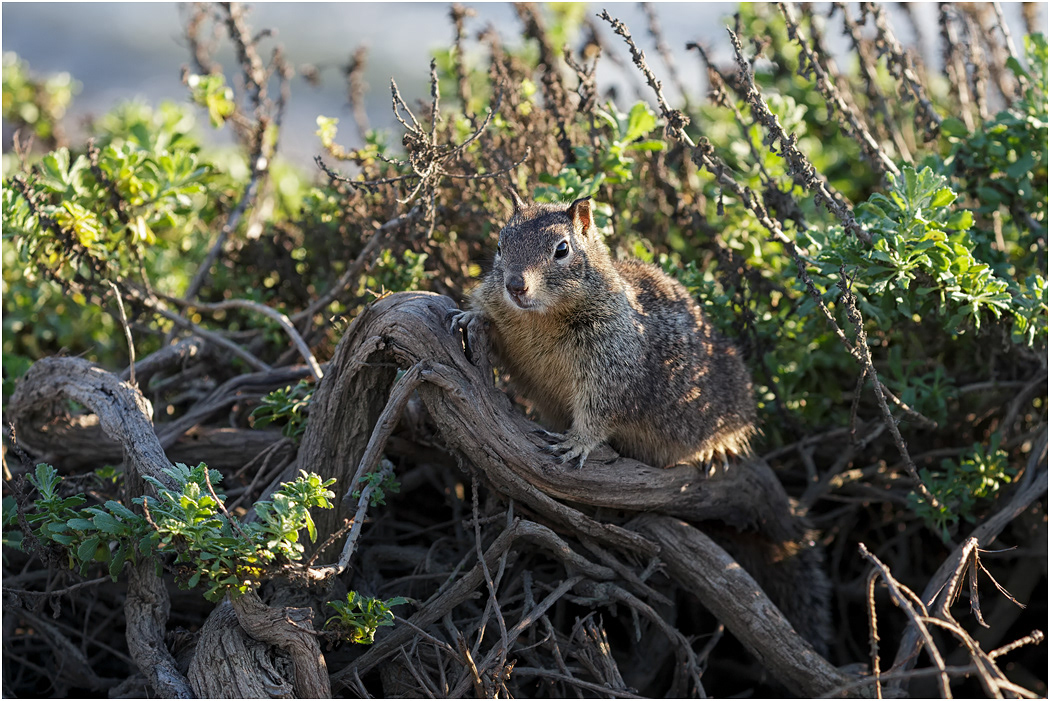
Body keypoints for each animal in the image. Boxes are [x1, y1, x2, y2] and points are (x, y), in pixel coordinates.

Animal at [449, 191, 757, 471]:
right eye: (500, 246)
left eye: (562, 249)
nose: (514, 286)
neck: (539, 318)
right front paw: (470, 315)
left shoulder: (611, 370)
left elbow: (598, 412)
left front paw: (575, 443)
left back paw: (716, 450)